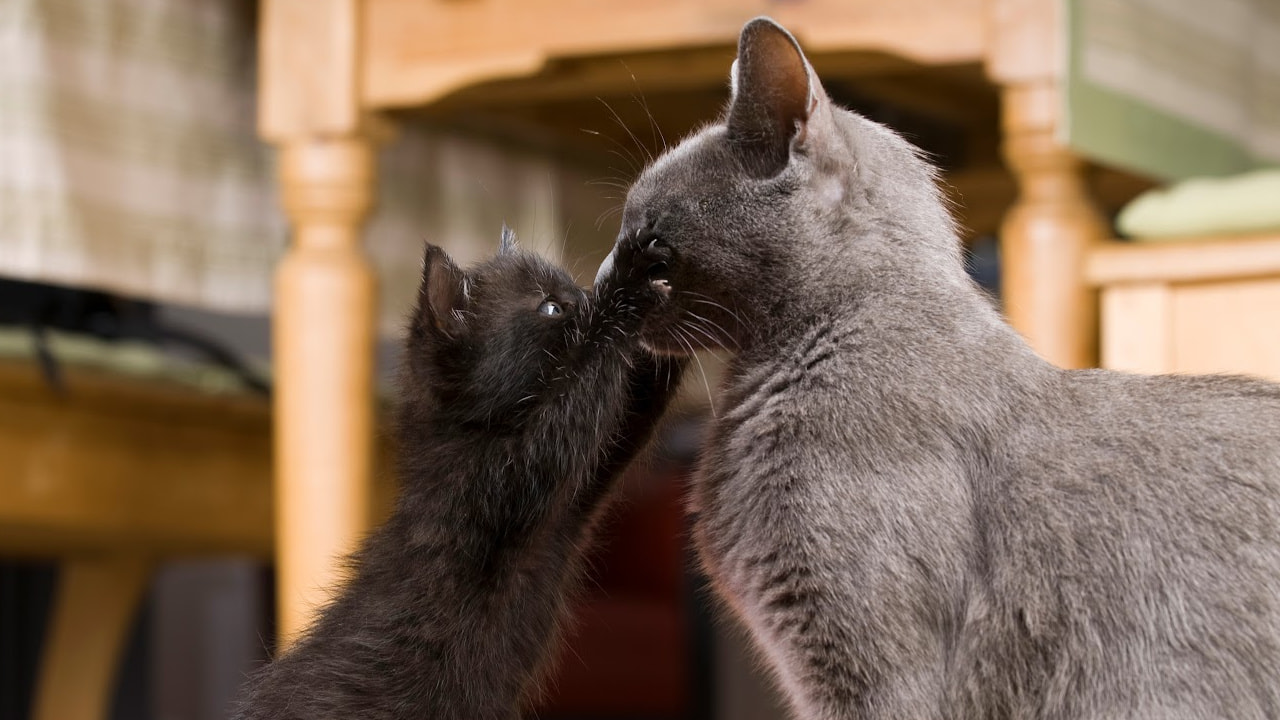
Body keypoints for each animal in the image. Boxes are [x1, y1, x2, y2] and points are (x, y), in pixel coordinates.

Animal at [236, 233, 686, 717]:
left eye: (573, 289)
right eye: (550, 307)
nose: (586, 296)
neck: (468, 435)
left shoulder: (574, 506)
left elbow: (631, 417)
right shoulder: (502, 480)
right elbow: (580, 392)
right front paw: (630, 279)